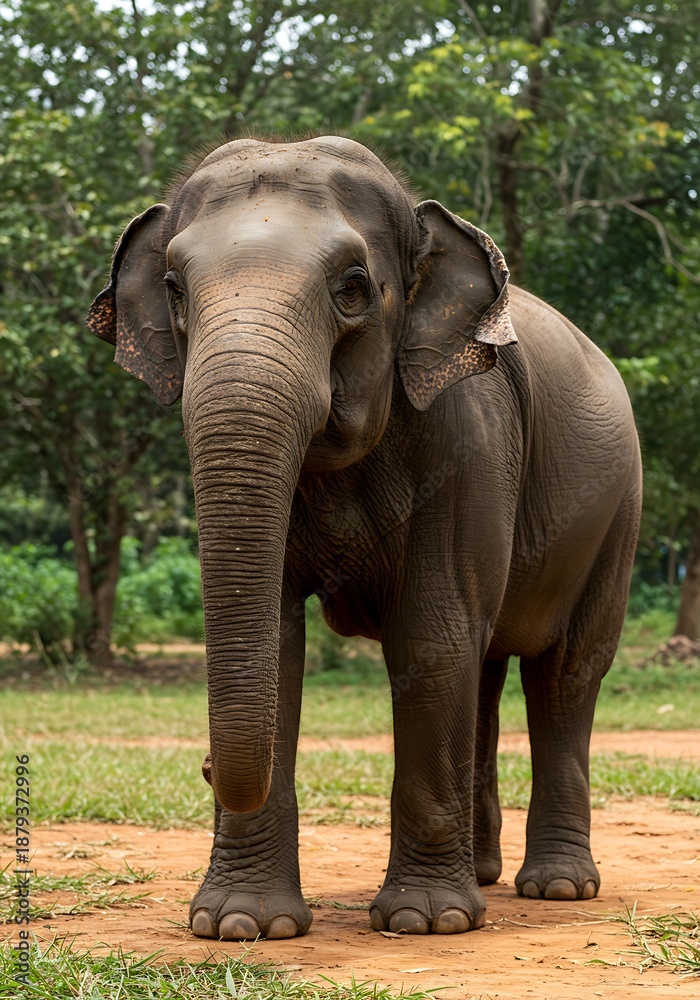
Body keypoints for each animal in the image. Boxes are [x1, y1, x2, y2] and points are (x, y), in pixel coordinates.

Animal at [87, 135, 641, 941]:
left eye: (353, 288)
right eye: (174, 290)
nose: (206, 768)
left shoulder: (469, 439)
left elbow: (430, 636)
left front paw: (426, 923)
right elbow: (279, 643)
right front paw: (241, 926)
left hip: (620, 511)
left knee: (566, 670)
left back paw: (557, 889)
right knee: (485, 663)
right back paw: (484, 875)